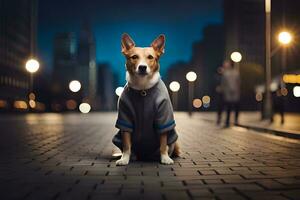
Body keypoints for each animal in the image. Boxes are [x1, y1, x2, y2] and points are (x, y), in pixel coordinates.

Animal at [112, 33, 178, 166]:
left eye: (150, 57)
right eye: (134, 57)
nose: (142, 67)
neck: (143, 89)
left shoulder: (163, 118)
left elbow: (163, 143)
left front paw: (165, 158)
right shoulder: (125, 119)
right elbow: (127, 144)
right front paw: (125, 158)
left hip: (174, 140)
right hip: (118, 138)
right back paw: (132, 156)